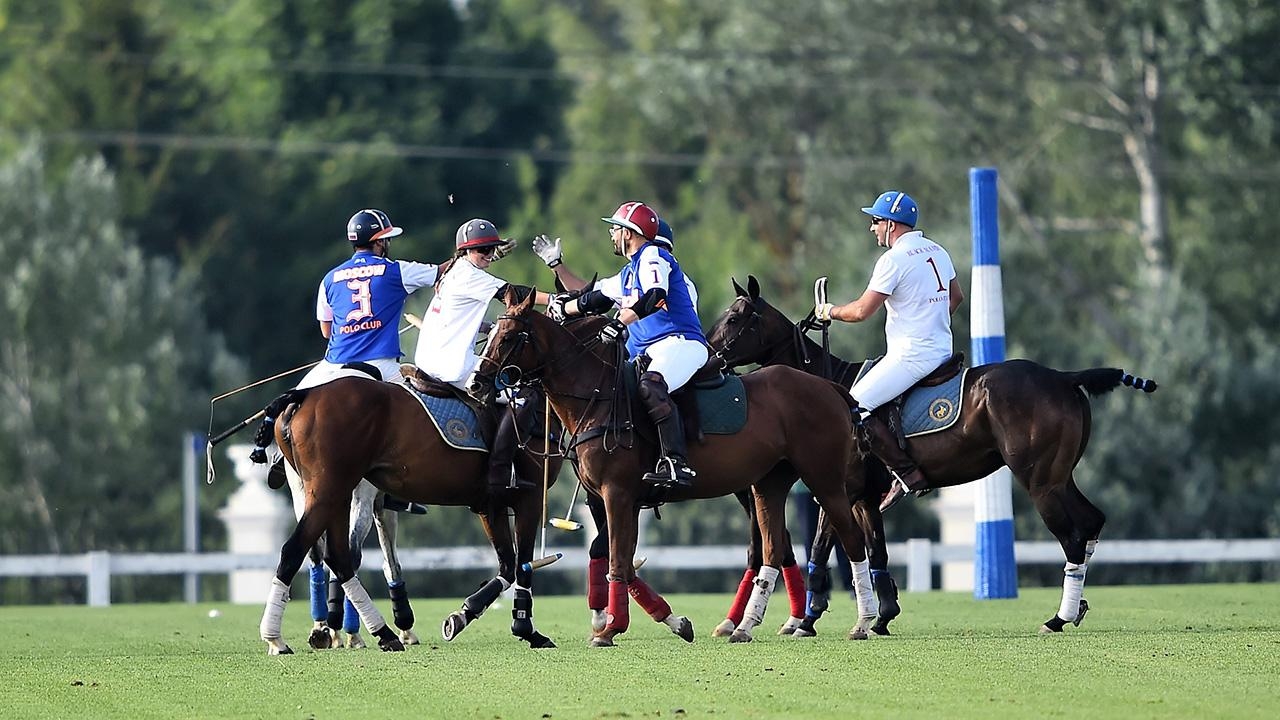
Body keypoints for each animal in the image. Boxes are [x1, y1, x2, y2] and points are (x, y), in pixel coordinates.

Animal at [257, 371, 563, 653]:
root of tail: (305, 394)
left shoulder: (490, 505)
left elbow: (508, 566)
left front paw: (461, 617)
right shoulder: (529, 499)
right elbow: (523, 566)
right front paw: (527, 629)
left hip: (335, 493)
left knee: (338, 557)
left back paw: (380, 633)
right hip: (329, 490)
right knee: (296, 550)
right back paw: (277, 639)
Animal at [471, 286, 870, 645]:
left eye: (509, 337)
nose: (477, 382)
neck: (597, 397)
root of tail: (831, 387)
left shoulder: (616, 494)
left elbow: (617, 559)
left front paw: (611, 629)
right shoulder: (614, 499)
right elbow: (619, 557)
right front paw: (664, 622)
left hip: (824, 479)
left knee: (851, 539)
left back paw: (861, 622)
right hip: (768, 483)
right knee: (773, 549)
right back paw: (744, 626)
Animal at [706, 271, 1157, 630]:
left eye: (734, 318)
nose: (709, 359)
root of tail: (1064, 378)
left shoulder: (839, 489)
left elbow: (825, 545)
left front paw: (806, 620)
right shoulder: (862, 496)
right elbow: (874, 551)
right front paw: (879, 616)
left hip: (1039, 480)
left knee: (1072, 536)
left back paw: (1058, 618)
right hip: (1061, 475)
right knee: (1092, 521)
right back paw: (1076, 606)